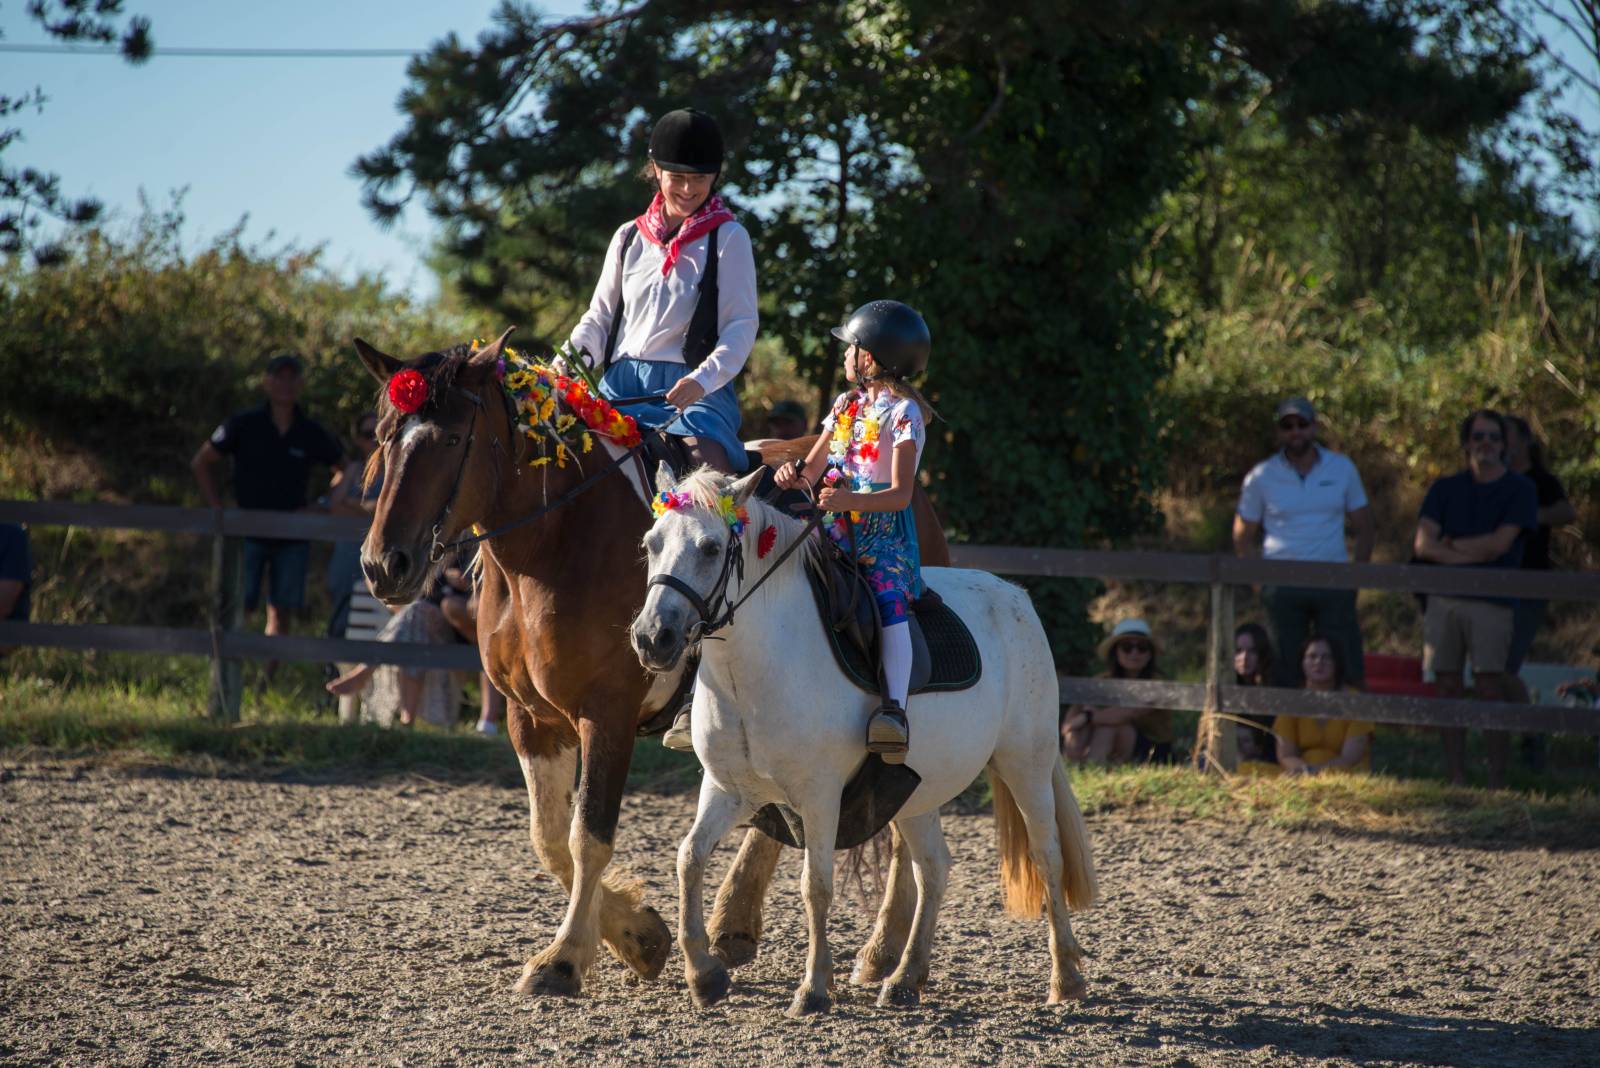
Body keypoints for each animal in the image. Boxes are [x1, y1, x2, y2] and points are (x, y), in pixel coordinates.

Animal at [352, 330, 950, 997]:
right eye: (385, 435)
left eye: (454, 439)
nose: (386, 564)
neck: (558, 545)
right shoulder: (529, 717)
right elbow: (548, 838)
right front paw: (639, 937)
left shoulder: (606, 716)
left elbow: (588, 838)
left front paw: (565, 957)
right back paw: (737, 924)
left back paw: (881, 949)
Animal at [630, 466, 1099, 1016]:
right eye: (651, 543)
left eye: (708, 548)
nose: (652, 637)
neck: (757, 668)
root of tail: (1015, 597)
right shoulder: (727, 789)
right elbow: (689, 858)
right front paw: (703, 975)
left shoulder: (819, 797)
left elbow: (815, 886)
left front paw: (813, 988)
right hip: (917, 790)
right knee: (933, 869)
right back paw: (904, 977)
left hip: (1025, 764)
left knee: (1047, 856)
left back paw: (1065, 977)